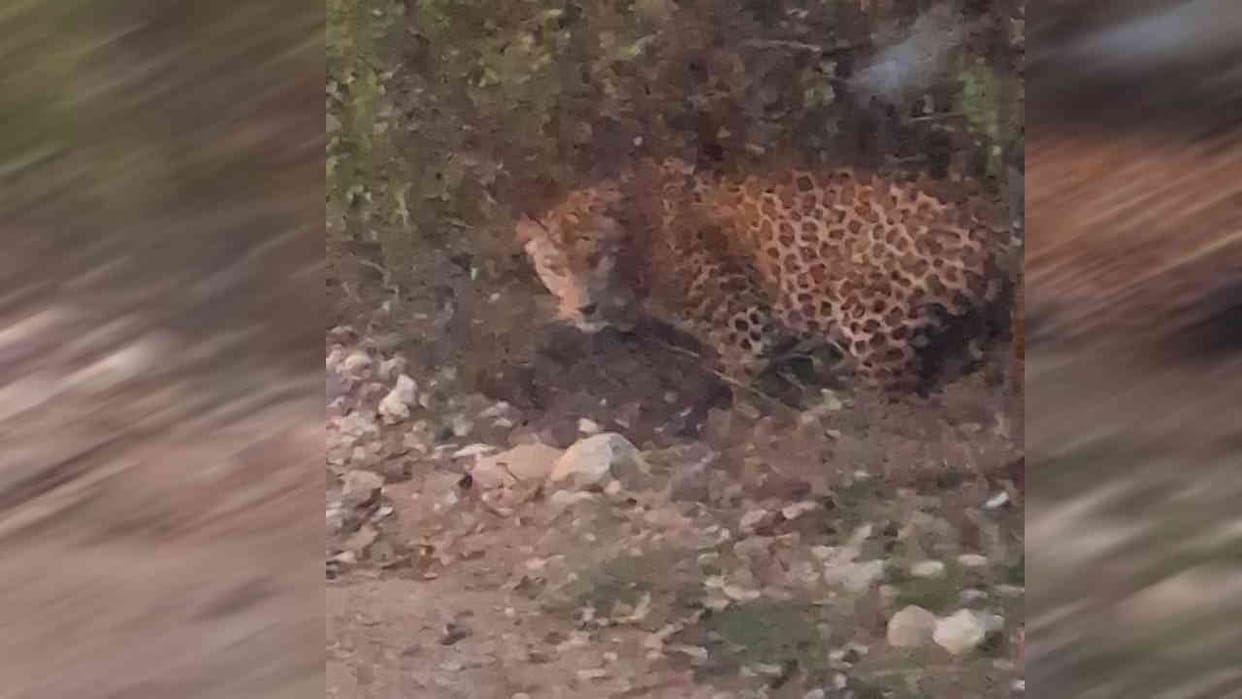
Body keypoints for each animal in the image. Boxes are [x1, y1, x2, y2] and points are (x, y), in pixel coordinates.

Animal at [517, 156, 1015, 395]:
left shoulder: (744, 326)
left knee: (898, 397)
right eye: (554, 268)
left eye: (597, 257)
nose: (585, 308)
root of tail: (988, 231)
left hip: (862, 305)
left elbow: (742, 389)